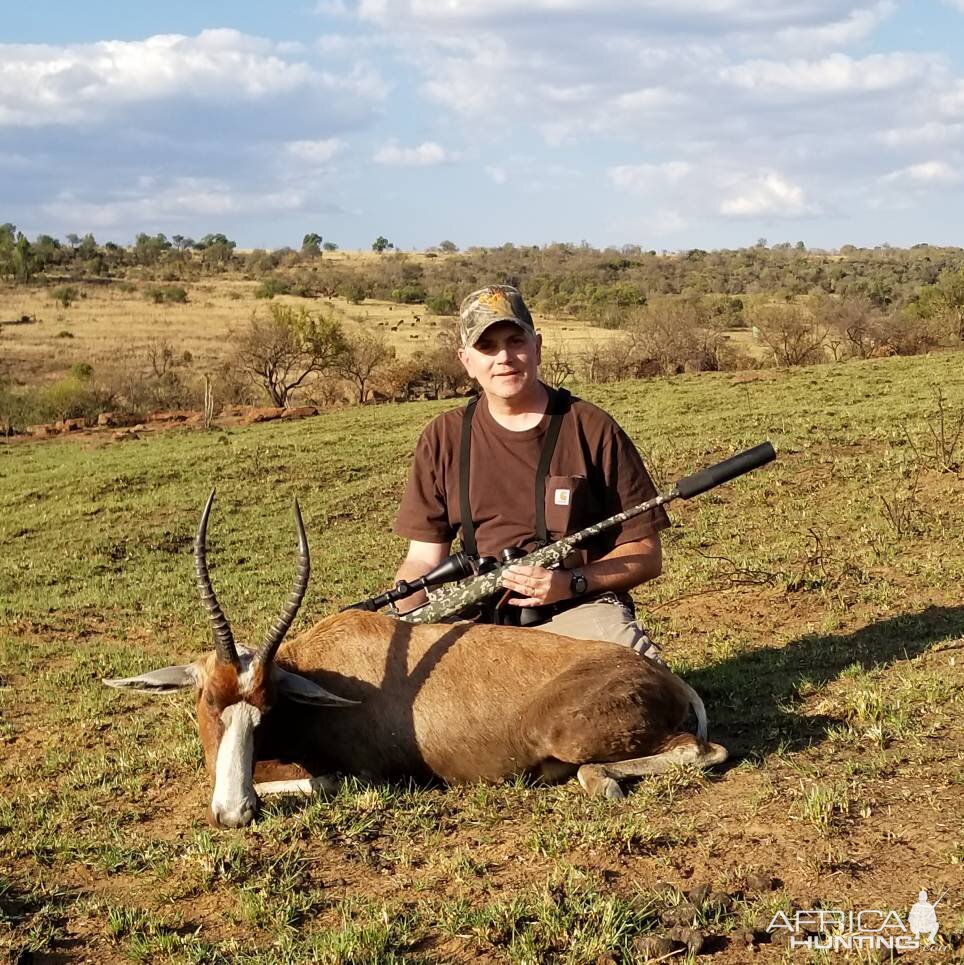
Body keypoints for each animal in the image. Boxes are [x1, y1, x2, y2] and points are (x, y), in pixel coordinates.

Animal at [103, 498, 724, 828]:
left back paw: (602, 781)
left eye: (267, 708)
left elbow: (322, 783)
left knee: (700, 752)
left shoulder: (358, 777)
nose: (235, 812)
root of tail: (666, 679)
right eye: (210, 700)